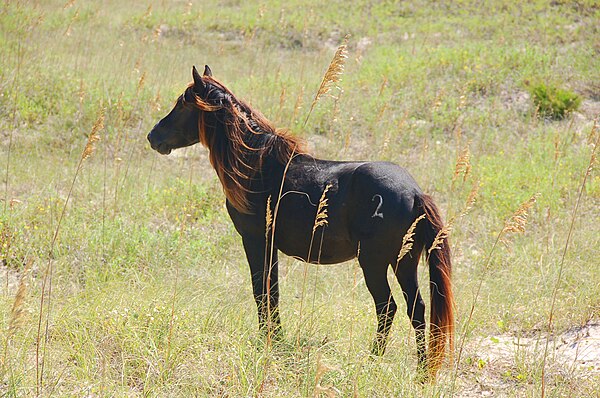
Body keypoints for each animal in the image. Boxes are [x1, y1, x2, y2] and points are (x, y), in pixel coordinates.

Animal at [146, 65, 454, 380]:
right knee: (416, 309)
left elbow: (262, 292)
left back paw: (374, 360)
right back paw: (422, 370)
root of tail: (414, 192)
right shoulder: (269, 246)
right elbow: (272, 292)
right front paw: (276, 339)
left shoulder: (256, 240)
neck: (258, 166)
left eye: (183, 103)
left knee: (387, 307)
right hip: (404, 262)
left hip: (374, 262)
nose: (153, 136)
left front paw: (268, 340)